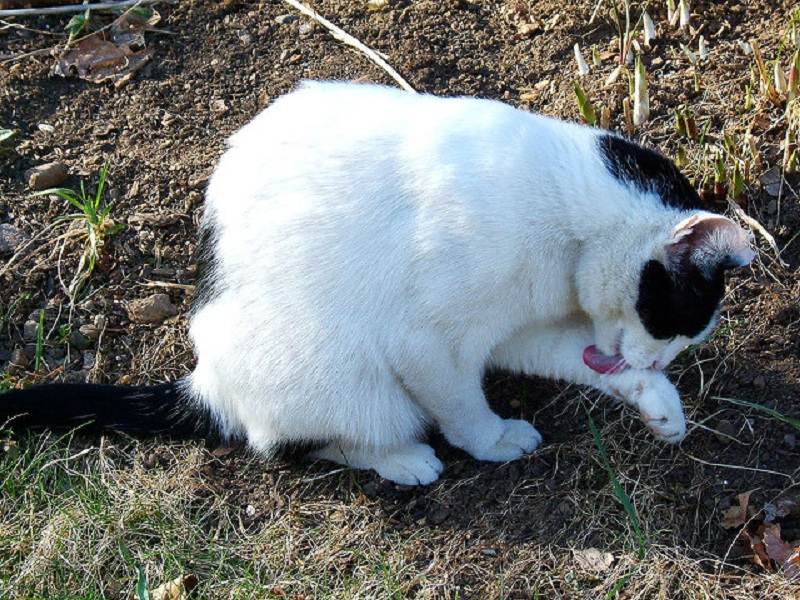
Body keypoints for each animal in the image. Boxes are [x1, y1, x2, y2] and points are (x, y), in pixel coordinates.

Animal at [0, 81, 752, 482]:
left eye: (681, 342)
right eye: (672, 321)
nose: (662, 360)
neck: (567, 232)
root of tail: (205, 378)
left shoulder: (515, 333)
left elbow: (582, 360)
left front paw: (659, 405)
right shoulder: (428, 342)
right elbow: (461, 407)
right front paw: (491, 441)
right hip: (342, 376)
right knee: (287, 443)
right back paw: (401, 459)